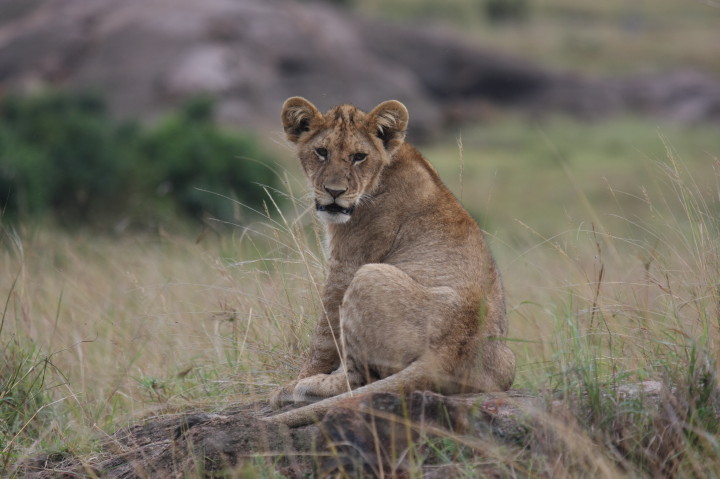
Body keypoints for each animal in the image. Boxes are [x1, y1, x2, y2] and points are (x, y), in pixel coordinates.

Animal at [265, 97, 515, 427]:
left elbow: (323, 335)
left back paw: (304, 388)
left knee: (359, 380)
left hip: (368, 275)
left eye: (359, 157)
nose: (334, 193)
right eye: (322, 152)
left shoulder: (348, 263)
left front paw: (294, 381)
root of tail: (451, 350)